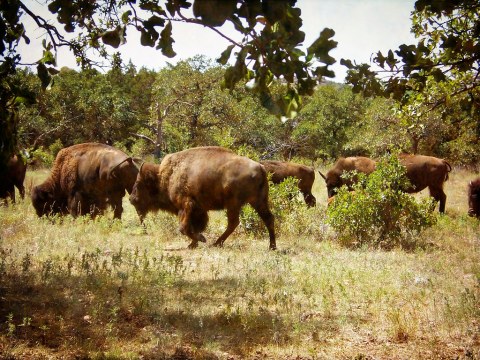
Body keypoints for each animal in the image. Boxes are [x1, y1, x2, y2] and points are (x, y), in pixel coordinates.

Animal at [129, 146, 276, 250]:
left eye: (138, 184)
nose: (131, 199)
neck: (167, 176)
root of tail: (260, 167)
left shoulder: (186, 205)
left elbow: (184, 227)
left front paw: (201, 239)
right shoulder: (198, 210)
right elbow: (194, 226)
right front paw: (193, 244)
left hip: (234, 204)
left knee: (233, 223)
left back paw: (216, 243)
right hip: (258, 202)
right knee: (268, 219)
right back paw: (272, 247)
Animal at [318, 153, 450, 212]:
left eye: (336, 185)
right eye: (327, 185)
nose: (330, 198)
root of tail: (442, 160)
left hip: (435, 185)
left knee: (441, 197)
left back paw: (440, 213)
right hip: (432, 186)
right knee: (436, 198)